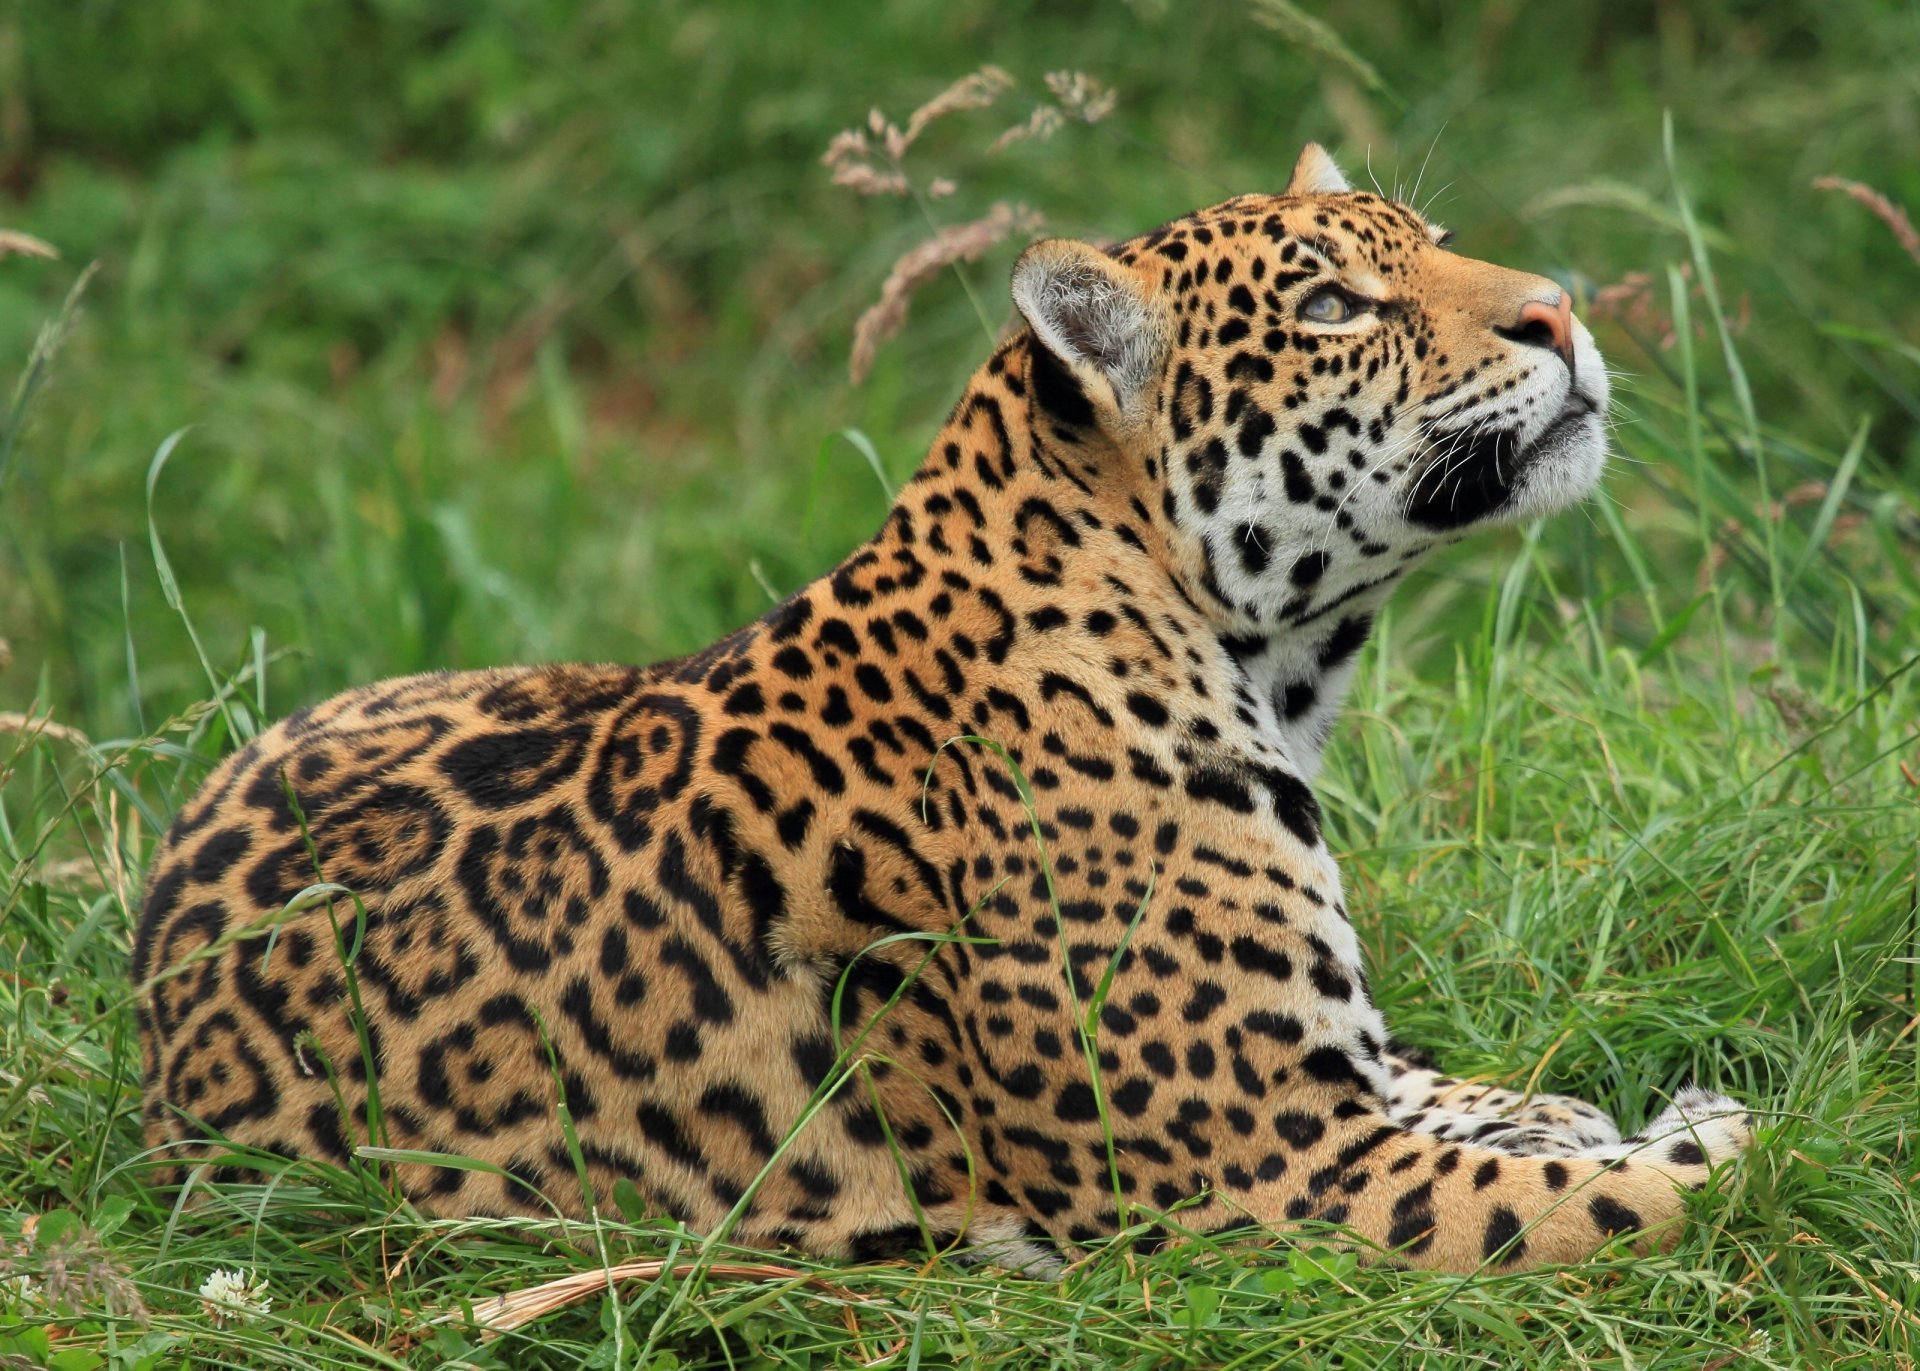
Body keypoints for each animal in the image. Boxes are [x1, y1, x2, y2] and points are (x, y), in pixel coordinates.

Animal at [134, 144, 1752, 1274]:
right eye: (1332, 306)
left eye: (1436, 249)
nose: (1561, 311)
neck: (1266, 662)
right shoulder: (1279, 1168)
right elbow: (1642, 1198)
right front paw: (1705, 1123)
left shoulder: (1336, 1084)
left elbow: (1462, 1087)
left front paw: (1565, 1105)